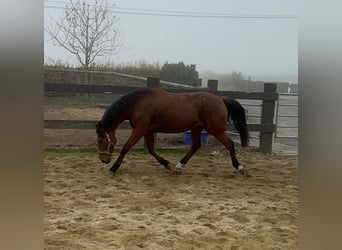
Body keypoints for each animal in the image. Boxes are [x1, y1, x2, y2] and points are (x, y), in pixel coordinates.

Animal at [95, 88, 250, 176]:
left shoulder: (140, 129)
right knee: (195, 146)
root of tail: (221, 99)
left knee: (230, 144)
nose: (104, 160)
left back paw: (240, 167)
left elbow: (126, 148)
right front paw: (167, 164)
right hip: (196, 128)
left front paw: (113, 169)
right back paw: (178, 167)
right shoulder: (147, 131)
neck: (138, 104)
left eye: (101, 140)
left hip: (215, 129)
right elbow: (151, 150)